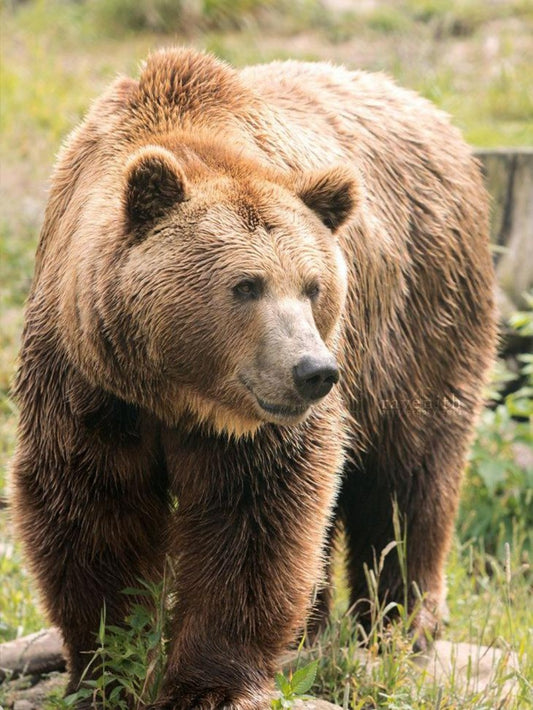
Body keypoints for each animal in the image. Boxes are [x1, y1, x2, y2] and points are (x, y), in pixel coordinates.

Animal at [11, 48, 496, 709]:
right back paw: (314, 630)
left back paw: (400, 626)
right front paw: (107, 666)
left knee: (411, 477)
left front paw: (209, 683)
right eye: (246, 285)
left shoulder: (260, 426)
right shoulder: (88, 382)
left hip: (423, 316)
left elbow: (254, 520)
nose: (314, 371)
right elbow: (91, 506)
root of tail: (435, 115)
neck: (175, 391)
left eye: (313, 286)